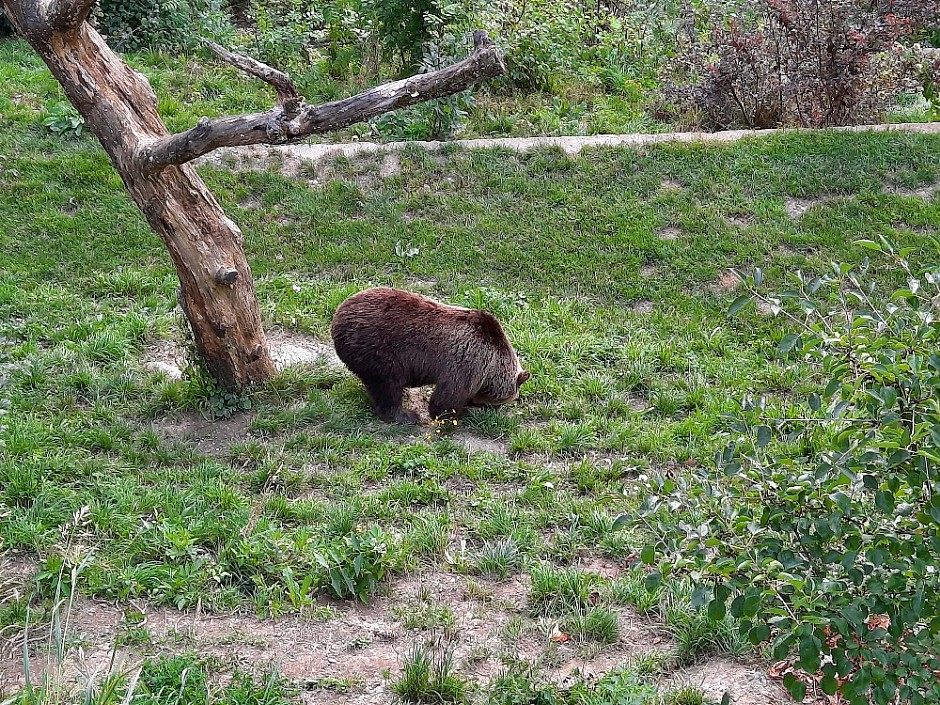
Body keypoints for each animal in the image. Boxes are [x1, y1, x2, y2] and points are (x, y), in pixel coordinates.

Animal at [330, 286, 528, 424]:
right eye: (500, 401)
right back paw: (406, 415)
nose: (493, 410)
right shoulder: (468, 362)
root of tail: (338, 315)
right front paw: (458, 413)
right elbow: (446, 399)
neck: (493, 363)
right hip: (379, 350)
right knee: (387, 385)